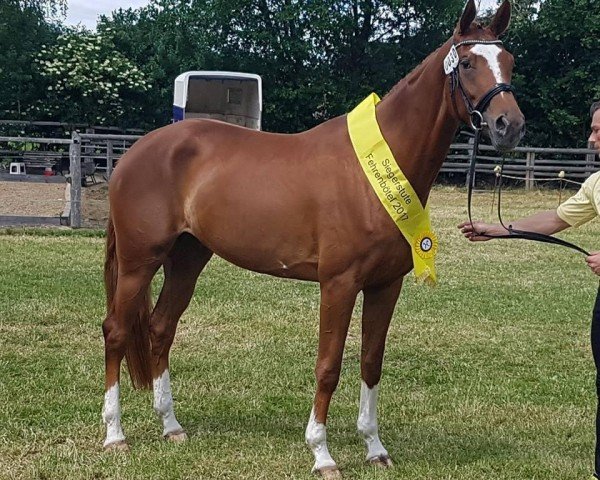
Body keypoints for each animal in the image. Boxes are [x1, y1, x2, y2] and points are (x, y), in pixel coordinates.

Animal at [103, 0, 524, 476]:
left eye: (509, 61)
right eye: (468, 63)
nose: (509, 125)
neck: (372, 172)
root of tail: (135, 153)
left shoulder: (385, 285)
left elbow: (371, 362)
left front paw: (375, 448)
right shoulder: (338, 285)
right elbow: (329, 366)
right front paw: (322, 453)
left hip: (188, 258)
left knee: (160, 327)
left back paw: (171, 426)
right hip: (139, 261)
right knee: (116, 330)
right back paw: (115, 435)